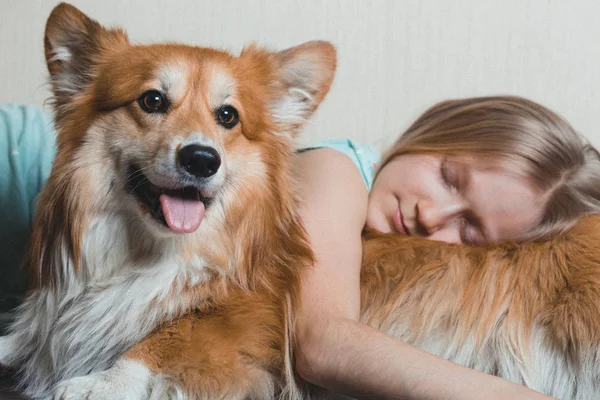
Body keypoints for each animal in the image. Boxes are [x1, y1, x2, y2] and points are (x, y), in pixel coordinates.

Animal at [0, 2, 336, 396]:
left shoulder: (247, 324)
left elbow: (168, 337)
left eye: (228, 115)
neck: (152, 254)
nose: (202, 160)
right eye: (152, 100)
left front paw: (103, 382)